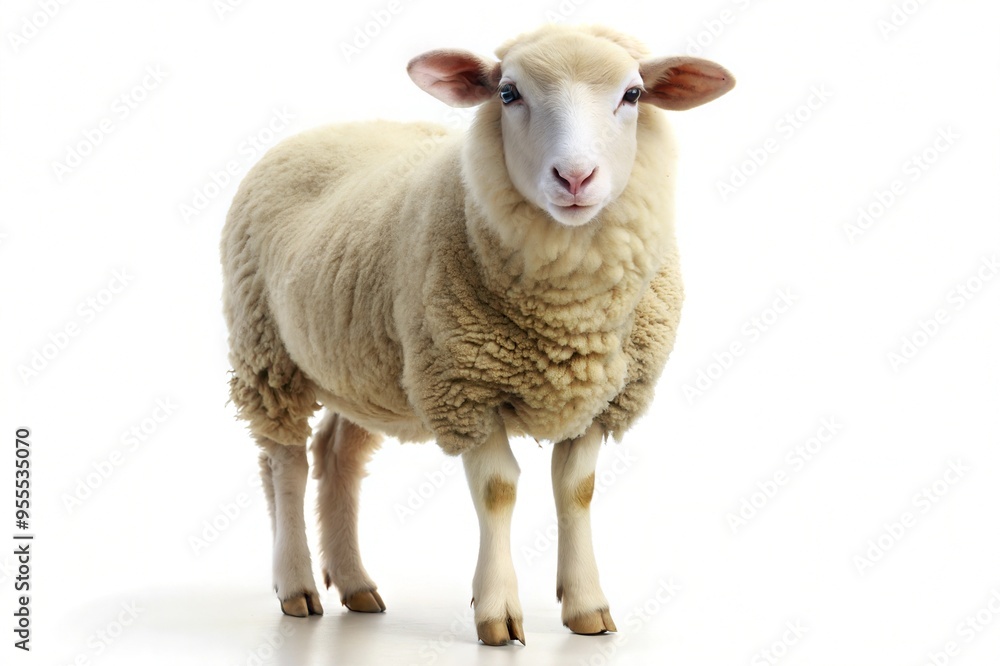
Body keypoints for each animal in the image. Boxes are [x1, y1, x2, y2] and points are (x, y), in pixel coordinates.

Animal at [220, 23, 733, 646]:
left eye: (632, 95)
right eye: (508, 93)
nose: (575, 177)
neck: (569, 320)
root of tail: (328, 128)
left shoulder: (601, 396)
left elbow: (576, 490)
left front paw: (587, 607)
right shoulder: (465, 388)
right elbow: (498, 491)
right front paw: (497, 614)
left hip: (367, 369)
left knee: (336, 456)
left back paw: (356, 584)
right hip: (266, 354)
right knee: (285, 464)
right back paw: (296, 585)